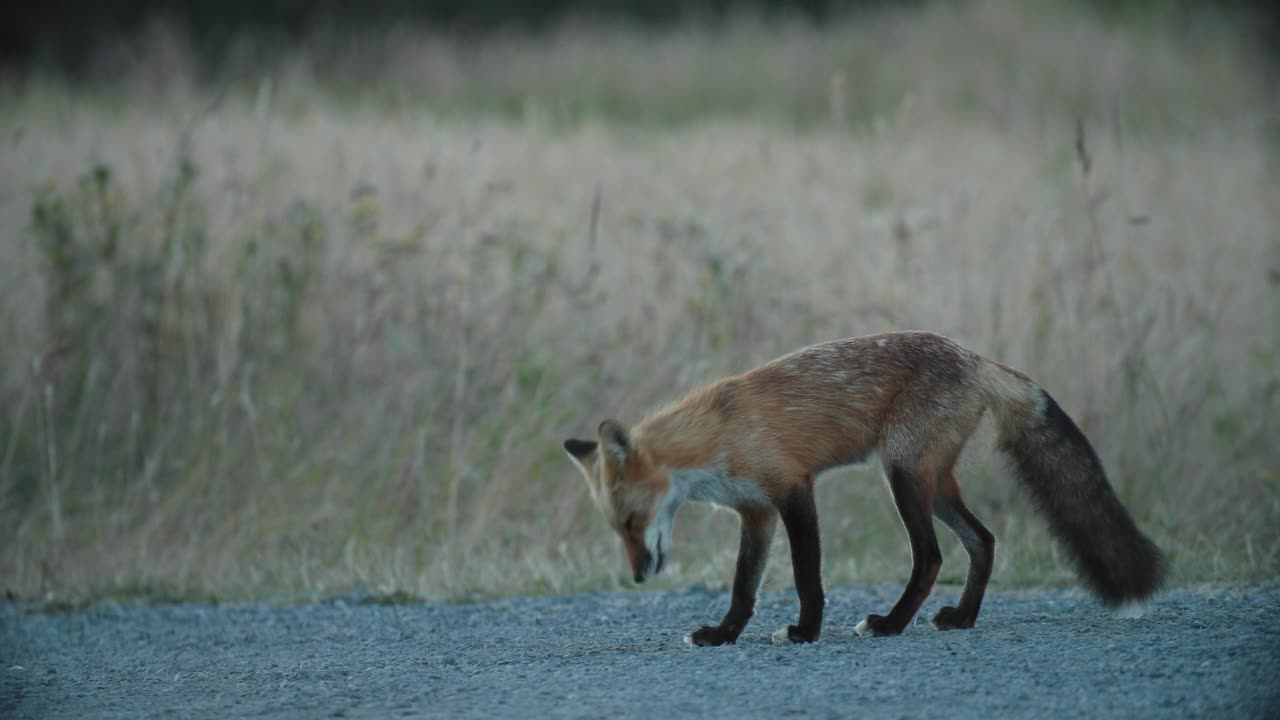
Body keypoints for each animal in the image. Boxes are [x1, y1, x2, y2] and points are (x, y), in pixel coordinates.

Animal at [565, 330, 1167, 645]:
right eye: (617, 528)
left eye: (631, 522)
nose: (638, 577)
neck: (714, 439)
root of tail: (975, 357)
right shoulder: (756, 512)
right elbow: (743, 588)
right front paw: (723, 634)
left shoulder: (792, 490)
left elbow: (807, 576)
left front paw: (806, 631)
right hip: (933, 484)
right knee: (984, 541)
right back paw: (962, 618)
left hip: (903, 476)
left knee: (931, 557)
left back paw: (892, 623)